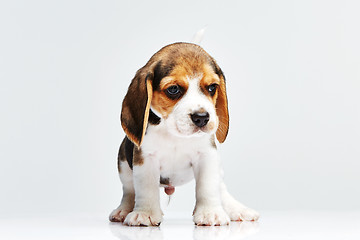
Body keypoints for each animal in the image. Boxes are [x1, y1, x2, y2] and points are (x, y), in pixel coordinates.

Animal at [109, 42, 258, 226]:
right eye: (173, 89)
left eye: (212, 87)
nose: (202, 117)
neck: (176, 135)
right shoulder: (145, 159)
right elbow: (146, 188)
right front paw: (145, 213)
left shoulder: (207, 156)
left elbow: (208, 187)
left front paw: (210, 213)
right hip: (123, 161)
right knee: (129, 190)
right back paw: (123, 210)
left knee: (221, 188)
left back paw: (237, 209)